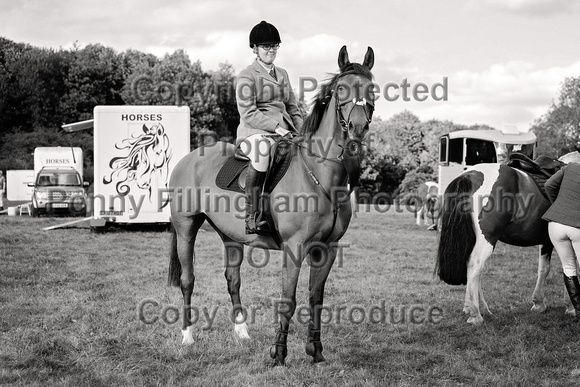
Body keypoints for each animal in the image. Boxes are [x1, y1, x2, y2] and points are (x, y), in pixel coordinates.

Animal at [168, 46, 376, 366]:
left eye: (372, 88)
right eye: (341, 88)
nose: (358, 128)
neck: (320, 172)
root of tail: (188, 158)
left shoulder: (327, 249)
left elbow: (316, 298)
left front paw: (316, 352)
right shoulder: (295, 247)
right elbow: (288, 299)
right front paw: (278, 354)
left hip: (231, 236)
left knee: (233, 280)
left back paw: (242, 332)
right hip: (186, 228)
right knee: (188, 279)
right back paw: (188, 336)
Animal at [436, 152, 580, 324]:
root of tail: (469, 175)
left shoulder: (547, 242)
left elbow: (544, 269)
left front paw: (539, 304)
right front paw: (571, 308)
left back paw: (473, 308)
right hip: (487, 239)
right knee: (475, 266)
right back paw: (476, 314)